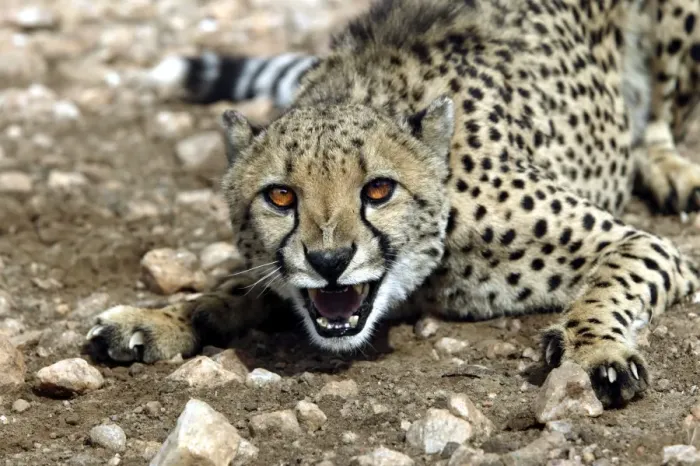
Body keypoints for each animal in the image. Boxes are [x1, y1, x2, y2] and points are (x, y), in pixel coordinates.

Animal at [86, 0, 700, 409]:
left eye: (378, 190)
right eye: (281, 196)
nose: (329, 262)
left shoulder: (642, 243)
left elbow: (609, 284)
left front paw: (593, 351)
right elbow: (241, 285)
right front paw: (161, 317)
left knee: (662, 118)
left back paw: (670, 169)